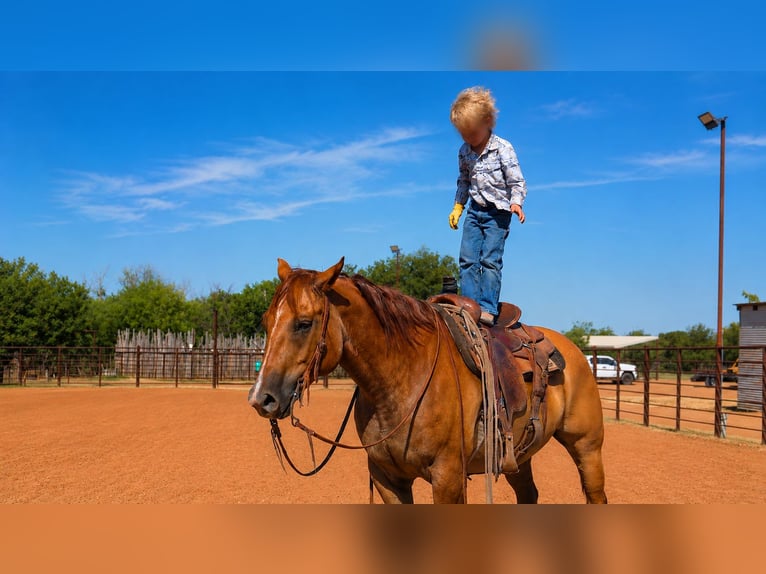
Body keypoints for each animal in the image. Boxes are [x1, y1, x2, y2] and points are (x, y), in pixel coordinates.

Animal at [248, 257, 607, 504]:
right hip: (518, 456)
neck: (402, 379)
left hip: (586, 446)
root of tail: (570, 348)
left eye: (304, 323)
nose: (261, 398)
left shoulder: (447, 477)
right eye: (266, 321)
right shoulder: (386, 479)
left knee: (595, 494)